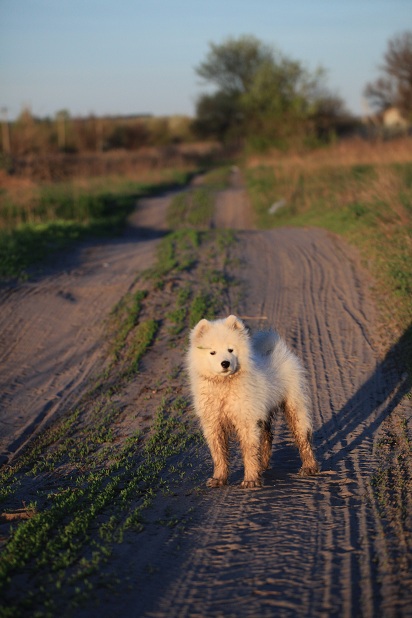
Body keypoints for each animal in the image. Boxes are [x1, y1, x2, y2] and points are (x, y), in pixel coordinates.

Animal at [187, 316, 318, 488]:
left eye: (231, 350)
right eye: (212, 352)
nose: (225, 363)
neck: (224, 386)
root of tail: (279, 350)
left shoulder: (246, 420)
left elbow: (249, 452)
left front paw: (250, 480)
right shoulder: (213, 423)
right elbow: (218, 454)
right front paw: (218, 478)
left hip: (294, 405)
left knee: (303, 438)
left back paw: (309, 467)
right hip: (263, 413)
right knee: (267, 437)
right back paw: (262, 465)